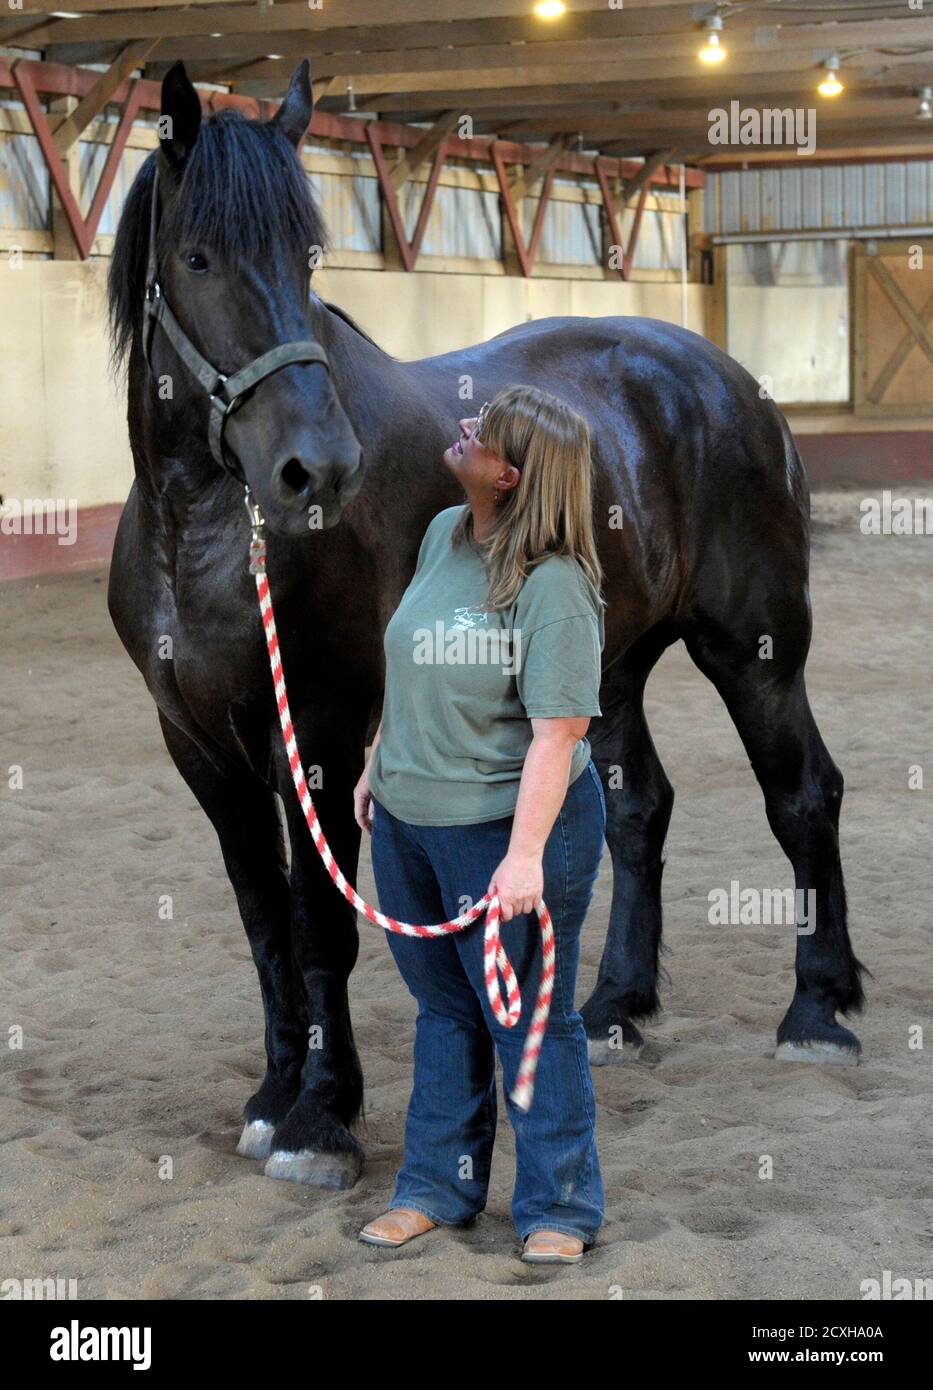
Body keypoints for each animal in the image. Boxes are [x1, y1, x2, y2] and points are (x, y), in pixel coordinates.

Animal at [107, 60, 864, 1190]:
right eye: (196, 257)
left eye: (309, 253)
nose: (315, 471)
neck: (202, 530)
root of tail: (730, 382)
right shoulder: (199, 748)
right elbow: (264, 925)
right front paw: (272, 1096)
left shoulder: (317, 732)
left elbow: (320, 924)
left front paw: (320, 1118)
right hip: (603, 667)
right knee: (640, 809)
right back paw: (614, 1006)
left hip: (755, 649)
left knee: (803, 795)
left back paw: (817, 1011)